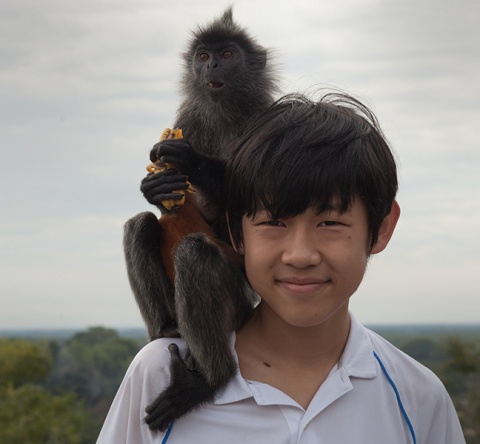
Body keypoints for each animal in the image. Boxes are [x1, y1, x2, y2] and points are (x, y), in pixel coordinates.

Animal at [124, 6, 280, 430]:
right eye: (203, 55)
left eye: (227, 54)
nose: (211, 64)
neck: (225, 114)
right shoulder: (188, 116)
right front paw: (157, 187)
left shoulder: (268, 119)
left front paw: (189, 159)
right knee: (139, 226)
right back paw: (166, 328)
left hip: (238, 301)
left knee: (196, 251)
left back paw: (210, 378)